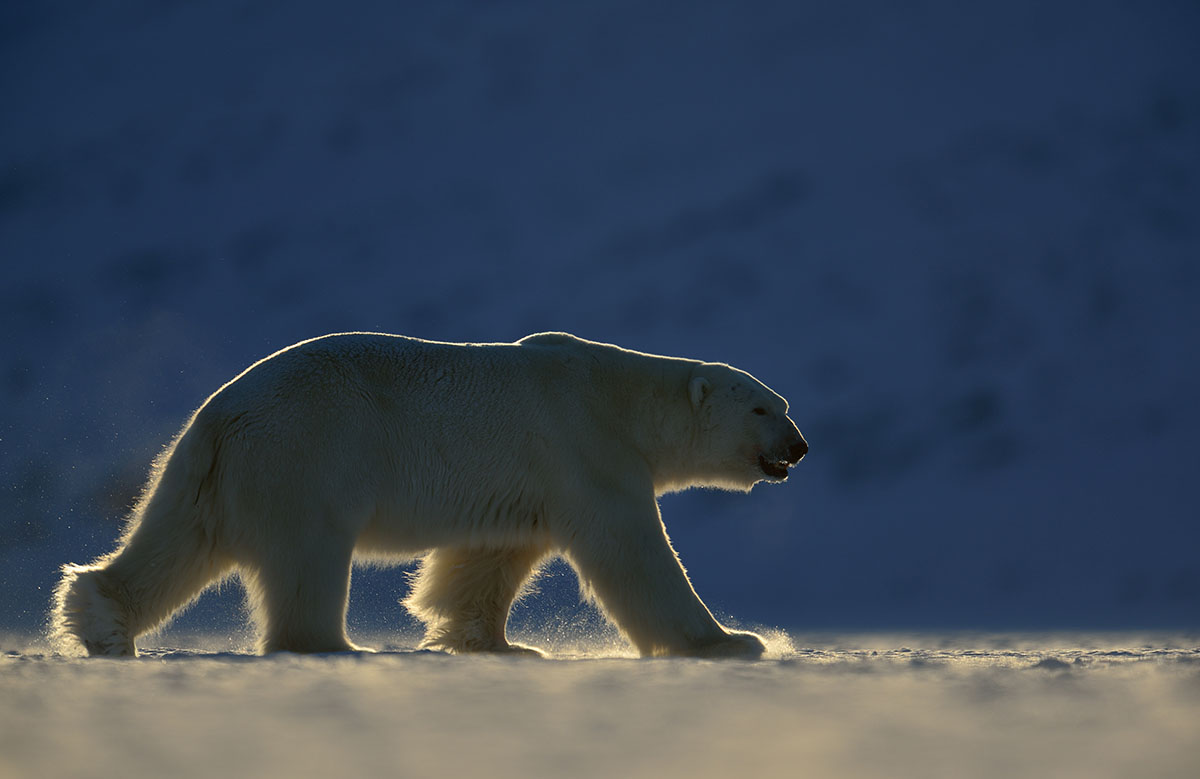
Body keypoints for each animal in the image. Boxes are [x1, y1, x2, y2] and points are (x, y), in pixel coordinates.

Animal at [51, 331, 811, 657]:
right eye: (761, 408)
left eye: (782, 403)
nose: (800, 447)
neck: (620, 397)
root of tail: (221, 411)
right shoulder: (585, 448)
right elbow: (634, 554)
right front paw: (731, 641)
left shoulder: (527, 482)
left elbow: (488, 557)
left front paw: (493, 643)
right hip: (307, 456)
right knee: (307, 558)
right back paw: (333, 646)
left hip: (209, 472)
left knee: (178, 540)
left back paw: (101, 621)